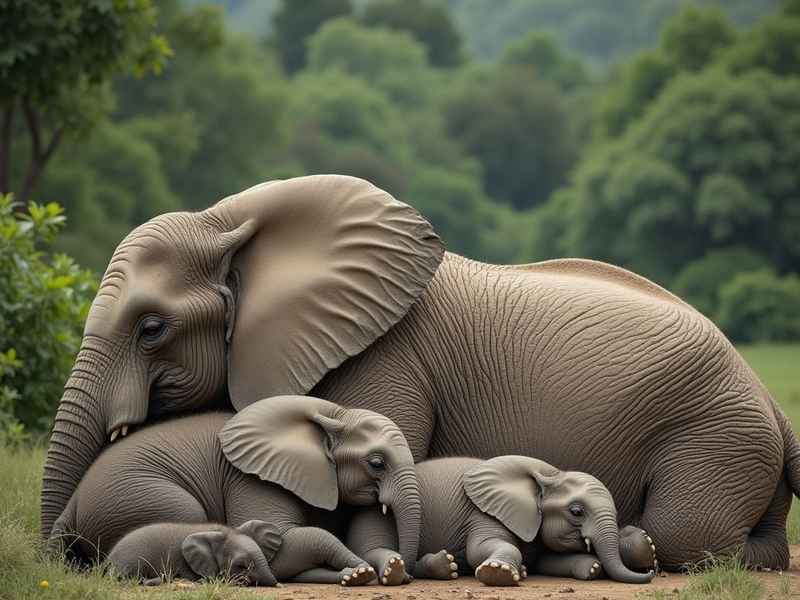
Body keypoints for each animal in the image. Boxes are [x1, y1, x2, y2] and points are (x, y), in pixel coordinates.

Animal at [48, 396, 421, 585]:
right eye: (376, 463)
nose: (405, 574)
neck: (334, 412)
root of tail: (72, 503)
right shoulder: (251, 476)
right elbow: (288, 542)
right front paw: (361, 571)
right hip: (131, 497)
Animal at [347, 456, 655, 586]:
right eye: (577, 511)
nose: (651, 573)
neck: (550, 473)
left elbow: (548, 560)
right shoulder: (482, 511)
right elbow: (480, 550)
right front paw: (499, 573)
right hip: (375, 516)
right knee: (375, 549)